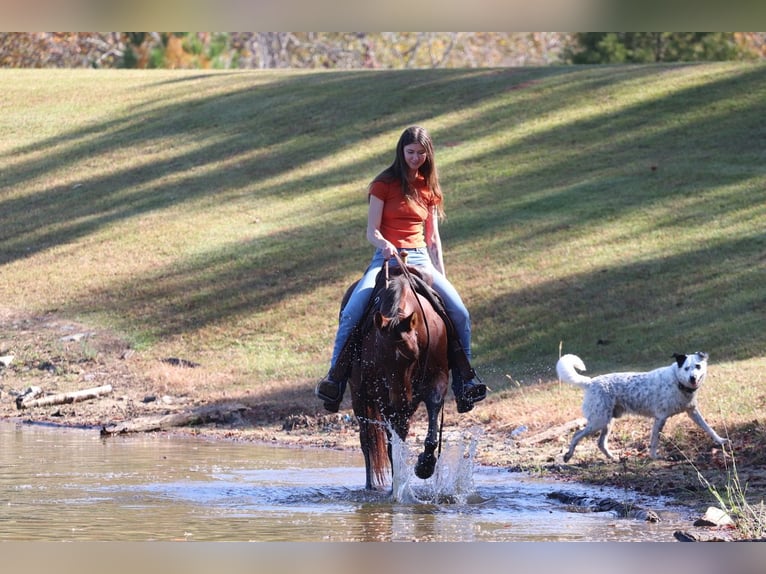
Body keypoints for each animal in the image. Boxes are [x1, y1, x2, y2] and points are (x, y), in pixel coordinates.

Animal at [346, 260, 450, 490]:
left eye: (412, 356)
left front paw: (425, 465)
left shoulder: (437, 378)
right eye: (380, 357)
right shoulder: (383, 395)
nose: (399, 402)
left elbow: (433, 410)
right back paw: (372, 485)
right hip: (360, 395)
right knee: (367, 440)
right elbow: (390, 442)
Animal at [556, 352, 728, 464]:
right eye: (686, 368)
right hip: (599, 421)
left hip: (608, 421)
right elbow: (654, 441)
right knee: (576, 435)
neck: (677, 381)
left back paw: (613, 458)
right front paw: (654, 457)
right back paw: (568, 456)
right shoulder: (660, 418)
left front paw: (720, 440)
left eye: (697, 366)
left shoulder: (692, 412)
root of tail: (590, 382)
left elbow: (708, 428)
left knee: (600, 443)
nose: (693, 378)